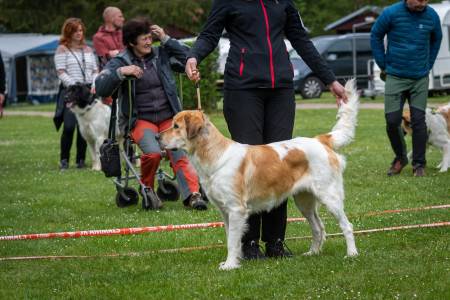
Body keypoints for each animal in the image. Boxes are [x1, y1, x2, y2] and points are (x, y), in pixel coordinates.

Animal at [160, 79, 360, 270]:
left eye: (176, 126)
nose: (157, 137)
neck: (214, 155)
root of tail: (320, 139)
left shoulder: (236, 209)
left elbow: (232, 241)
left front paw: (230, 266)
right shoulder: (225, 212)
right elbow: (231, 239)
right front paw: (234, 261)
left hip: (329, 196)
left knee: (346, 225)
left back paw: (351, 254)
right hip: (304, 201)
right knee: (319, 227)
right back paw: (312, 253)